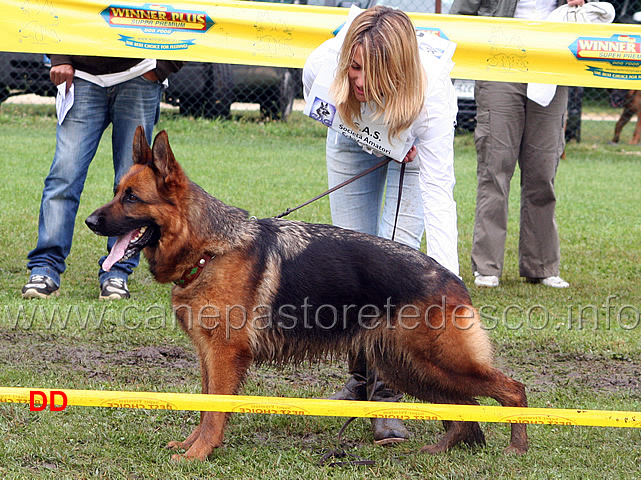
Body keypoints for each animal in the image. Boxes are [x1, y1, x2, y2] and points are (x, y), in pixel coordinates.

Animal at [85, 126, 528, 462]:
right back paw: (439, 450)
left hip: (437, 362)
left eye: (131, 198)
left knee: (513, 389)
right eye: (117, 191)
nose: (89, 221)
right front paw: (193, 446)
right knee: (465, 407)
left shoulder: (224, 354)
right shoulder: (208, 355)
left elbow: (214, 411)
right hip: (410, 367)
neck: (211, 250)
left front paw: (198, 454)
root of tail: (452, 277)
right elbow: (206, 404)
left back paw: (516, 448)